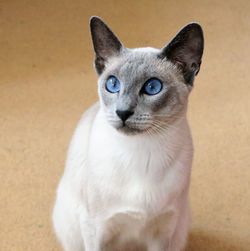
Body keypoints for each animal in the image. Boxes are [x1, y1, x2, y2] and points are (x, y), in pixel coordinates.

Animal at [52, 16, 203, 251]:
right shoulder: (95, 228)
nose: (122, 112)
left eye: (152, 87)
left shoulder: (162, 233)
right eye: (112, 84)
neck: (141, 151)